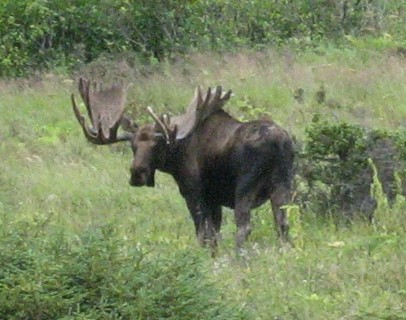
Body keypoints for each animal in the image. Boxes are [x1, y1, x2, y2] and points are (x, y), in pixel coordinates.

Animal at [71, 77, 294, 250]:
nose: (137, 173)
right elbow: (215, 233)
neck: (176, 153)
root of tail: (280, 142)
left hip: (245, 185)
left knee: (244, 227)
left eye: (157, 145)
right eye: (132, 146)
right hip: (283, 185)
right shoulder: (213, 198)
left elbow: (204, 233)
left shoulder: (193, 191)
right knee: (283, 224)